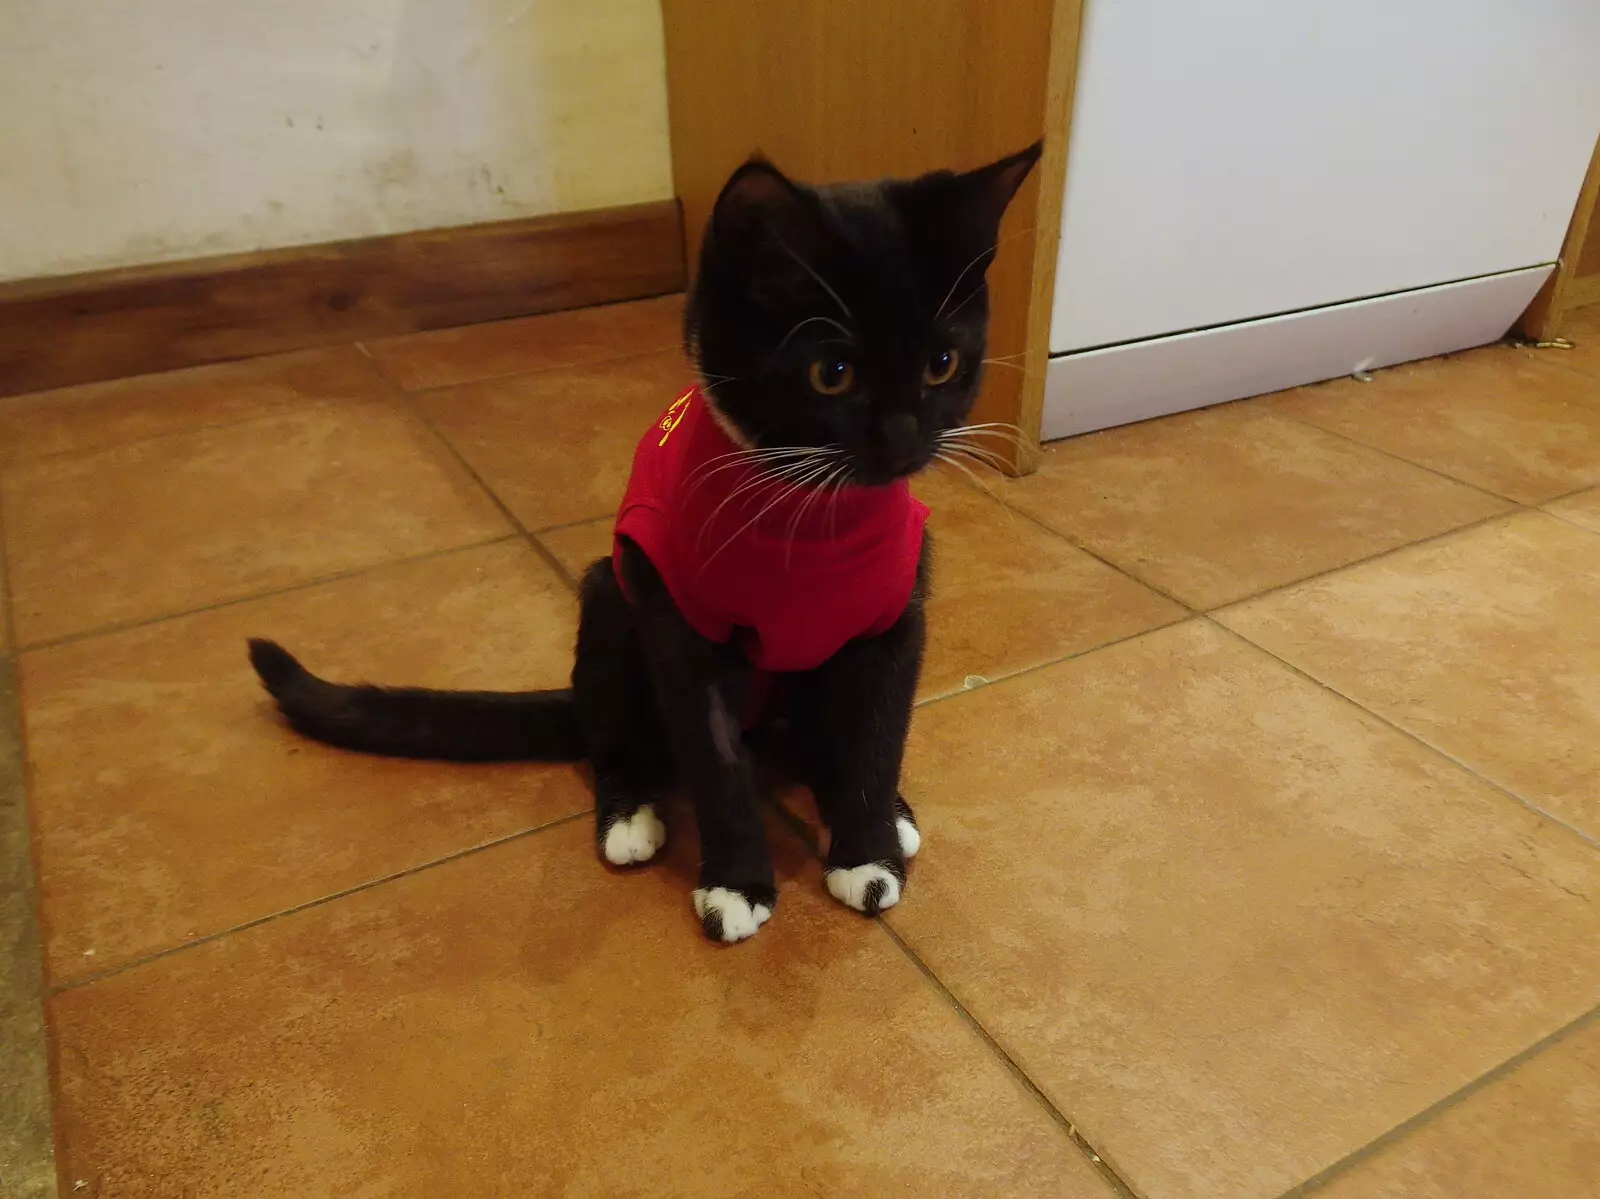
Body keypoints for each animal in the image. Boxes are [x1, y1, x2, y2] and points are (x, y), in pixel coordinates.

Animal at [249, 140, 1043, 941]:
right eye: (832, 373)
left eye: (942, 364)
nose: (904, 442)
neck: (810, 512)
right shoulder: (680, 634)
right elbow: (715, 765)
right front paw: (736, 883)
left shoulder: (893, 619)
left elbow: (879, 736)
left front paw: (869, 852)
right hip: (611, 600)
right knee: (615, 732)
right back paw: (628, 811)